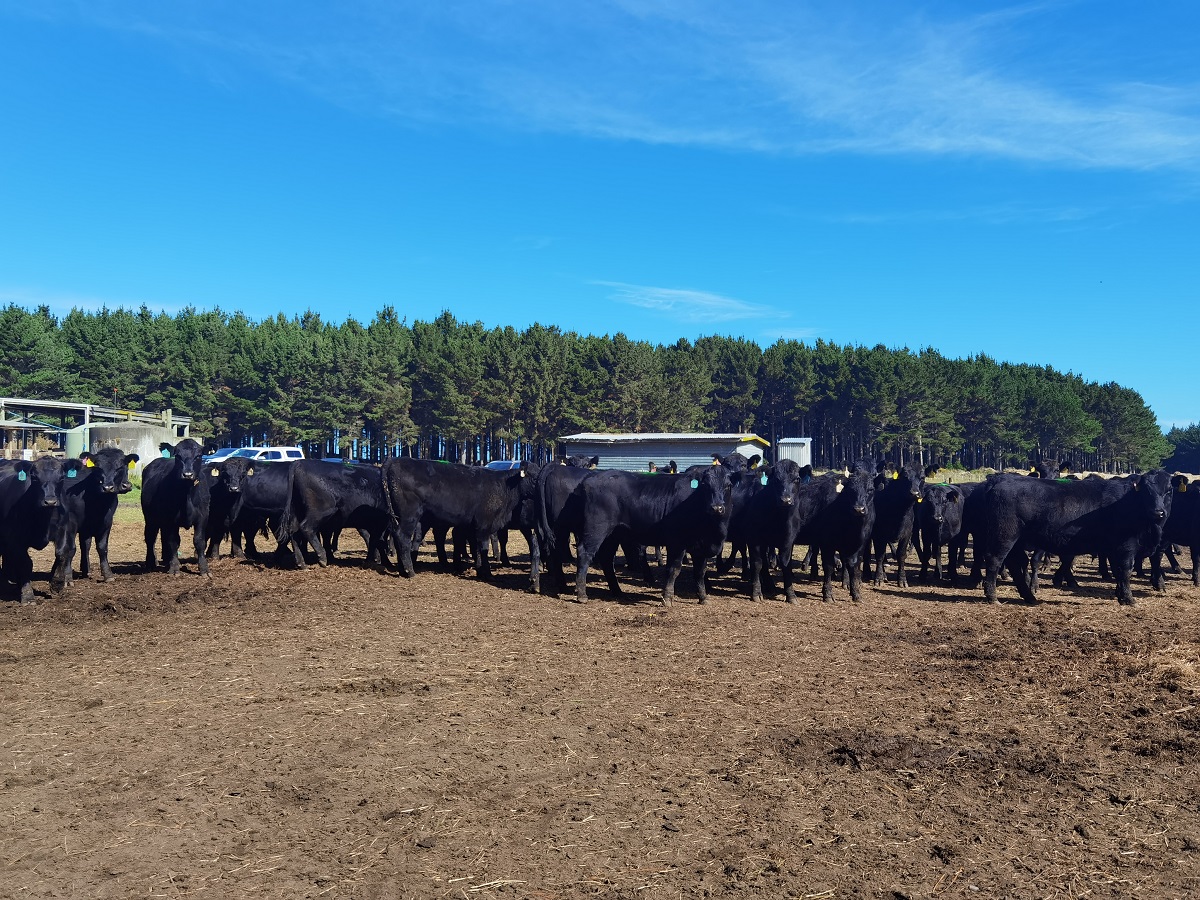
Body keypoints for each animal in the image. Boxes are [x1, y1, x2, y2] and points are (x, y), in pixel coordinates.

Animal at [0, 460, 82, 602]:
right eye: (34, 477)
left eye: (62, 477)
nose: (50, 502)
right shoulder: (15, 539)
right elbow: (25, 562)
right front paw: (27, 595)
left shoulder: (63, 529)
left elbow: (61, 554)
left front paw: (57, 583)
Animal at [51, 446, 138, 592]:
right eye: (98, 467)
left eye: (121, 466)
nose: (108, 487)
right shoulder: (70, 523)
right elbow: (71, 549)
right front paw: (67, 578)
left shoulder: (106, 522)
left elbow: (101, 547)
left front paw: (108, 575)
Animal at [141, 439, 212, 578]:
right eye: (178, 456)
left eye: (198, 456)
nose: (187, 474)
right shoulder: (170, 520)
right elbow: (174, 542)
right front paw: (174, 568)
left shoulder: (203, 517)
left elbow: (199, 541)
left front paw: (204, 569)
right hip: (150, 518)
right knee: (150, 537)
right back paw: (151, 562)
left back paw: (166, 560)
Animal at [568, 465, 729, 607]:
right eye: (706, 486)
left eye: (728, 485)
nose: (717, 508)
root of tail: (590, 478)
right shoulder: (677, 543)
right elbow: (674, 569)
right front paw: (667, 598)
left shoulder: (700, 547)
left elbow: (700, 572)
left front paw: (703, 597)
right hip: (596, 530)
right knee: (585, 554)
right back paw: (582, 594)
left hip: (613, 535)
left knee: (606, 559)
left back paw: (617, 591)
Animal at [974, 472, 1171, 607]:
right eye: (1146, 491)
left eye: (1168, 490)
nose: (1158, 512)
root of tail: (999, 479)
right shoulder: (1126, 546)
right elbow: (1125, 571)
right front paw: (1129, 599)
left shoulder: (1114, 548)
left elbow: (1117, 572)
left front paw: (1121, 596)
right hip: (1004, 535)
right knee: (994, 560)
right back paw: (992, 596)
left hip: (1016, 541)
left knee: (1015, 564)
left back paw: (1029, 597)